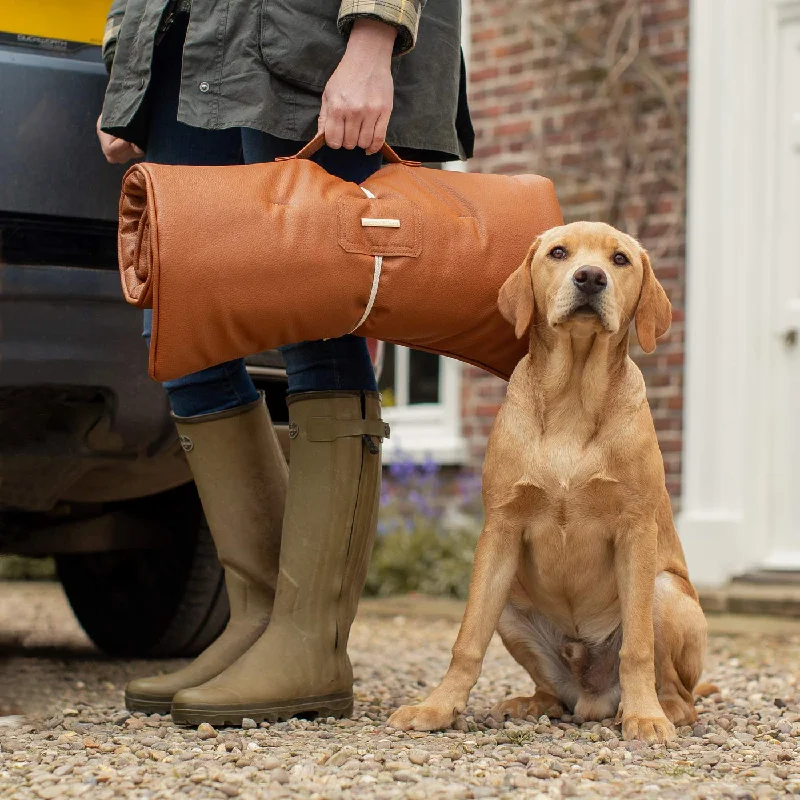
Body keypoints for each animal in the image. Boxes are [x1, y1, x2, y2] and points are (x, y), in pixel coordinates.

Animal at [390, 220, 708, 744]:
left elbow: (638, 647)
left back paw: (652, 709)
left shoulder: (636, 529)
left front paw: (645, 717)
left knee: (680, 693)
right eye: (559, 253)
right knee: (554, 692)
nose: (591, 278)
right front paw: (437, 708)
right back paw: (531, 703)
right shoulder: (500, 528)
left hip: (665, 592)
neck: (573, 397)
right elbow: (467, 640)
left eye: (619, 259)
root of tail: (593, 698)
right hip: (512, 608)